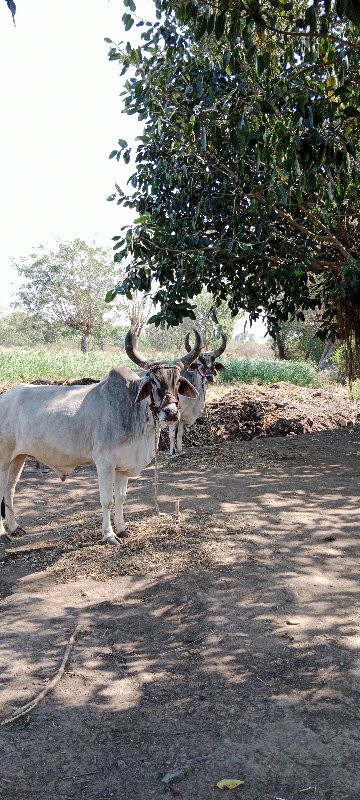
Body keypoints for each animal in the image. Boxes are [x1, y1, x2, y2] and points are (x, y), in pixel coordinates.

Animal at [0, 328, 201, 548]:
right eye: (154, 381)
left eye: (178, 381)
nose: (171, 412)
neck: (131, 409)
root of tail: (5, 398)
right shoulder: (105, 463)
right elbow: (107, 500)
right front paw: (109, 535)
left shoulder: (123, 466)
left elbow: (121, 497)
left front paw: (122, 529)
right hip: (3, 458)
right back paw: (3, 533)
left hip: (18, 458)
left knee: (9, 490)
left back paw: (14, 527)